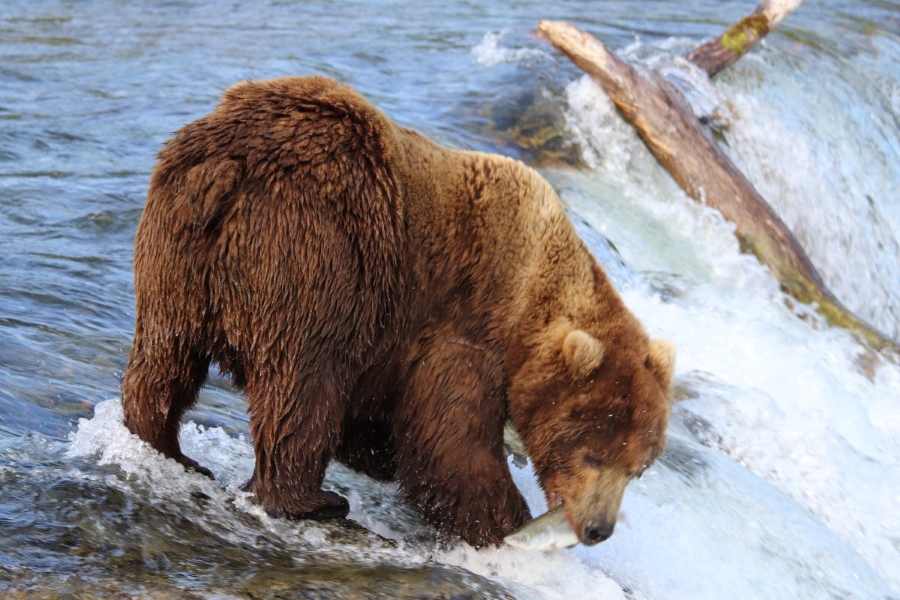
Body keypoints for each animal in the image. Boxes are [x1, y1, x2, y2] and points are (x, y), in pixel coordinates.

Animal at [125, 75, 676, 548]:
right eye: (594, 452)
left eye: (640, 466)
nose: (600, 528)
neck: (527, 294)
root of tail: (231, 164)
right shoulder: (463, 325)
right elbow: (453, 440)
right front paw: (503, 520)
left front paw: (379, 455)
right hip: (323, 251)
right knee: (306, 380)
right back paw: (313, 499)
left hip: (175, 247)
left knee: (164, 356)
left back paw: (163, 444)